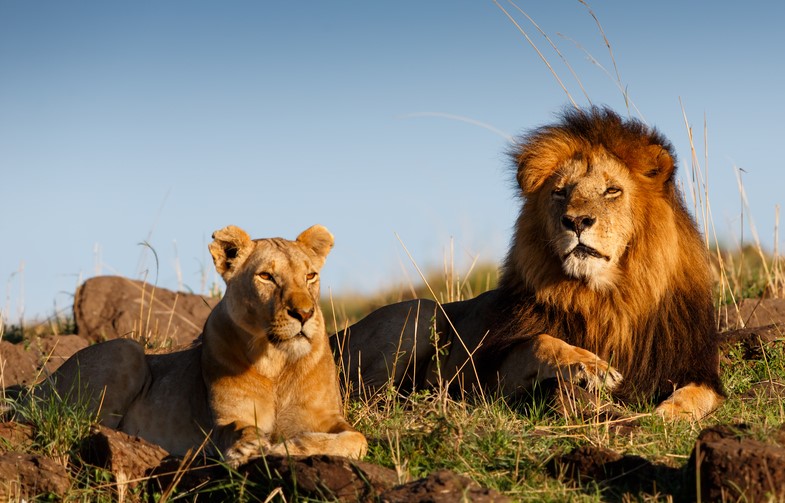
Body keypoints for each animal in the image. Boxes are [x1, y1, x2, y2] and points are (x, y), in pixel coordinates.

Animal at [39, 225, 367, 464]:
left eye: (310, 276)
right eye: (266, 276)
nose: (304, 313)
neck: (277, 361)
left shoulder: (328, 418)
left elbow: (357, 439)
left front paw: (291, 446)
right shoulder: (226, 419)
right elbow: (237, 429)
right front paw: (248, 447)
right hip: (125, 349)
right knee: (80, 426)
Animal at [334, 107, 724, 419]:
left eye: (612, 190)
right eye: (560, 192)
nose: (576, 221)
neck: (606, 298)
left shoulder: (694, 367)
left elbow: (699, 395)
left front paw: (667, 414)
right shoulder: (491, 377)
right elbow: (541, 341)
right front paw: (592, 367)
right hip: (420, 311)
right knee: (364, 393)